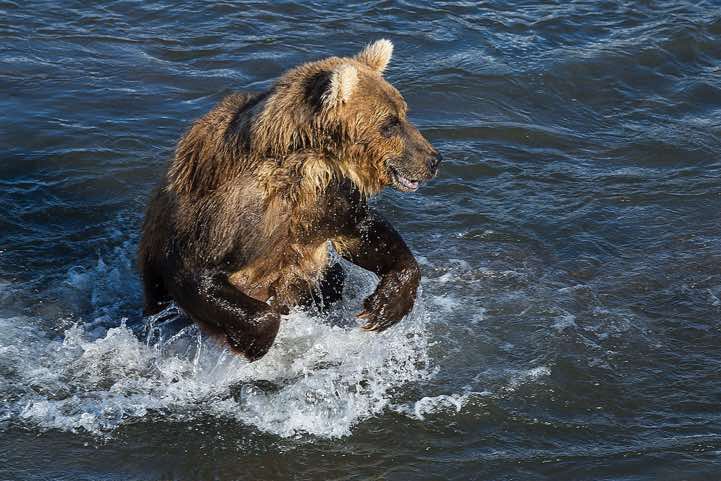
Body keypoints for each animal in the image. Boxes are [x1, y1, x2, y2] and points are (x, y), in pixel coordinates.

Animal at [138, 39, 441, 361]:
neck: (306, 166)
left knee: (332, 280)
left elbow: (363, 233)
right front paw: (253, 342)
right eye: (390, 122)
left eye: (403, 112)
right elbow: (195, 271)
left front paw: (383, 307)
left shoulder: (326, 200)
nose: (433, 159)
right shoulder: (227, 213)